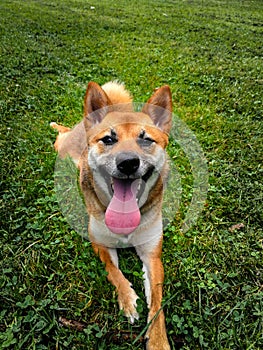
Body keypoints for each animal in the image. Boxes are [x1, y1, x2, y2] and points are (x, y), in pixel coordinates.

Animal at [51, 81, 173, 350]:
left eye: (146, 140)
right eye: (108, 139)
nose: (127, 162)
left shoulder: (152, 254)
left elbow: (158, 301)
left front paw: (158, 339)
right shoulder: (100, 243)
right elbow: (114, 273)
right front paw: (127, 300)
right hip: (64, 148)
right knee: (61, 135)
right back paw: (55, 126)